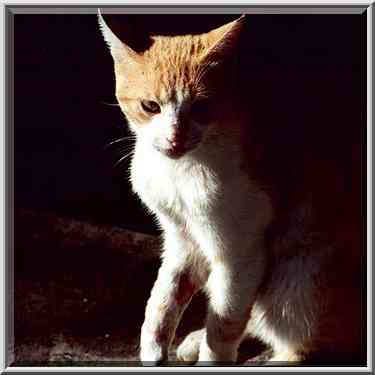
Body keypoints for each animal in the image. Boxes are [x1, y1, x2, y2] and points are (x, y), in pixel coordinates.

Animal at [98, 12, 366, 368]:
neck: (179, 172)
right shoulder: (182, 240)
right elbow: (164, 297)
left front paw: (211, 351)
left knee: (305, 342)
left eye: (201, 108)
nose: (174, 138)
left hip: (299, 280)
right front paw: (153, 346)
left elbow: (225, 323)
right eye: (150, 106)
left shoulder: (240, 255)